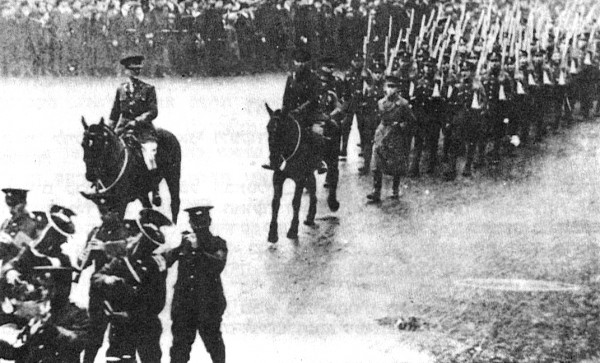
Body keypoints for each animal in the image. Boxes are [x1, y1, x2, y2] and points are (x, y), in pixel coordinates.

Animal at [266, 103, 340, 245]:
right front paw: (272, 233)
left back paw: (333, 203)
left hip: (332, 158)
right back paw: (310, 216)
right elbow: (275, 202)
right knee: (312, 187)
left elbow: (296, 202)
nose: (273, 160)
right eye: (268, 128)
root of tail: (331, 118)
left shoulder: (299, 179)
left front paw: (293, 230)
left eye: (282, 130)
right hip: (310, 171)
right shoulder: (278, 177)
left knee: (334, 175)